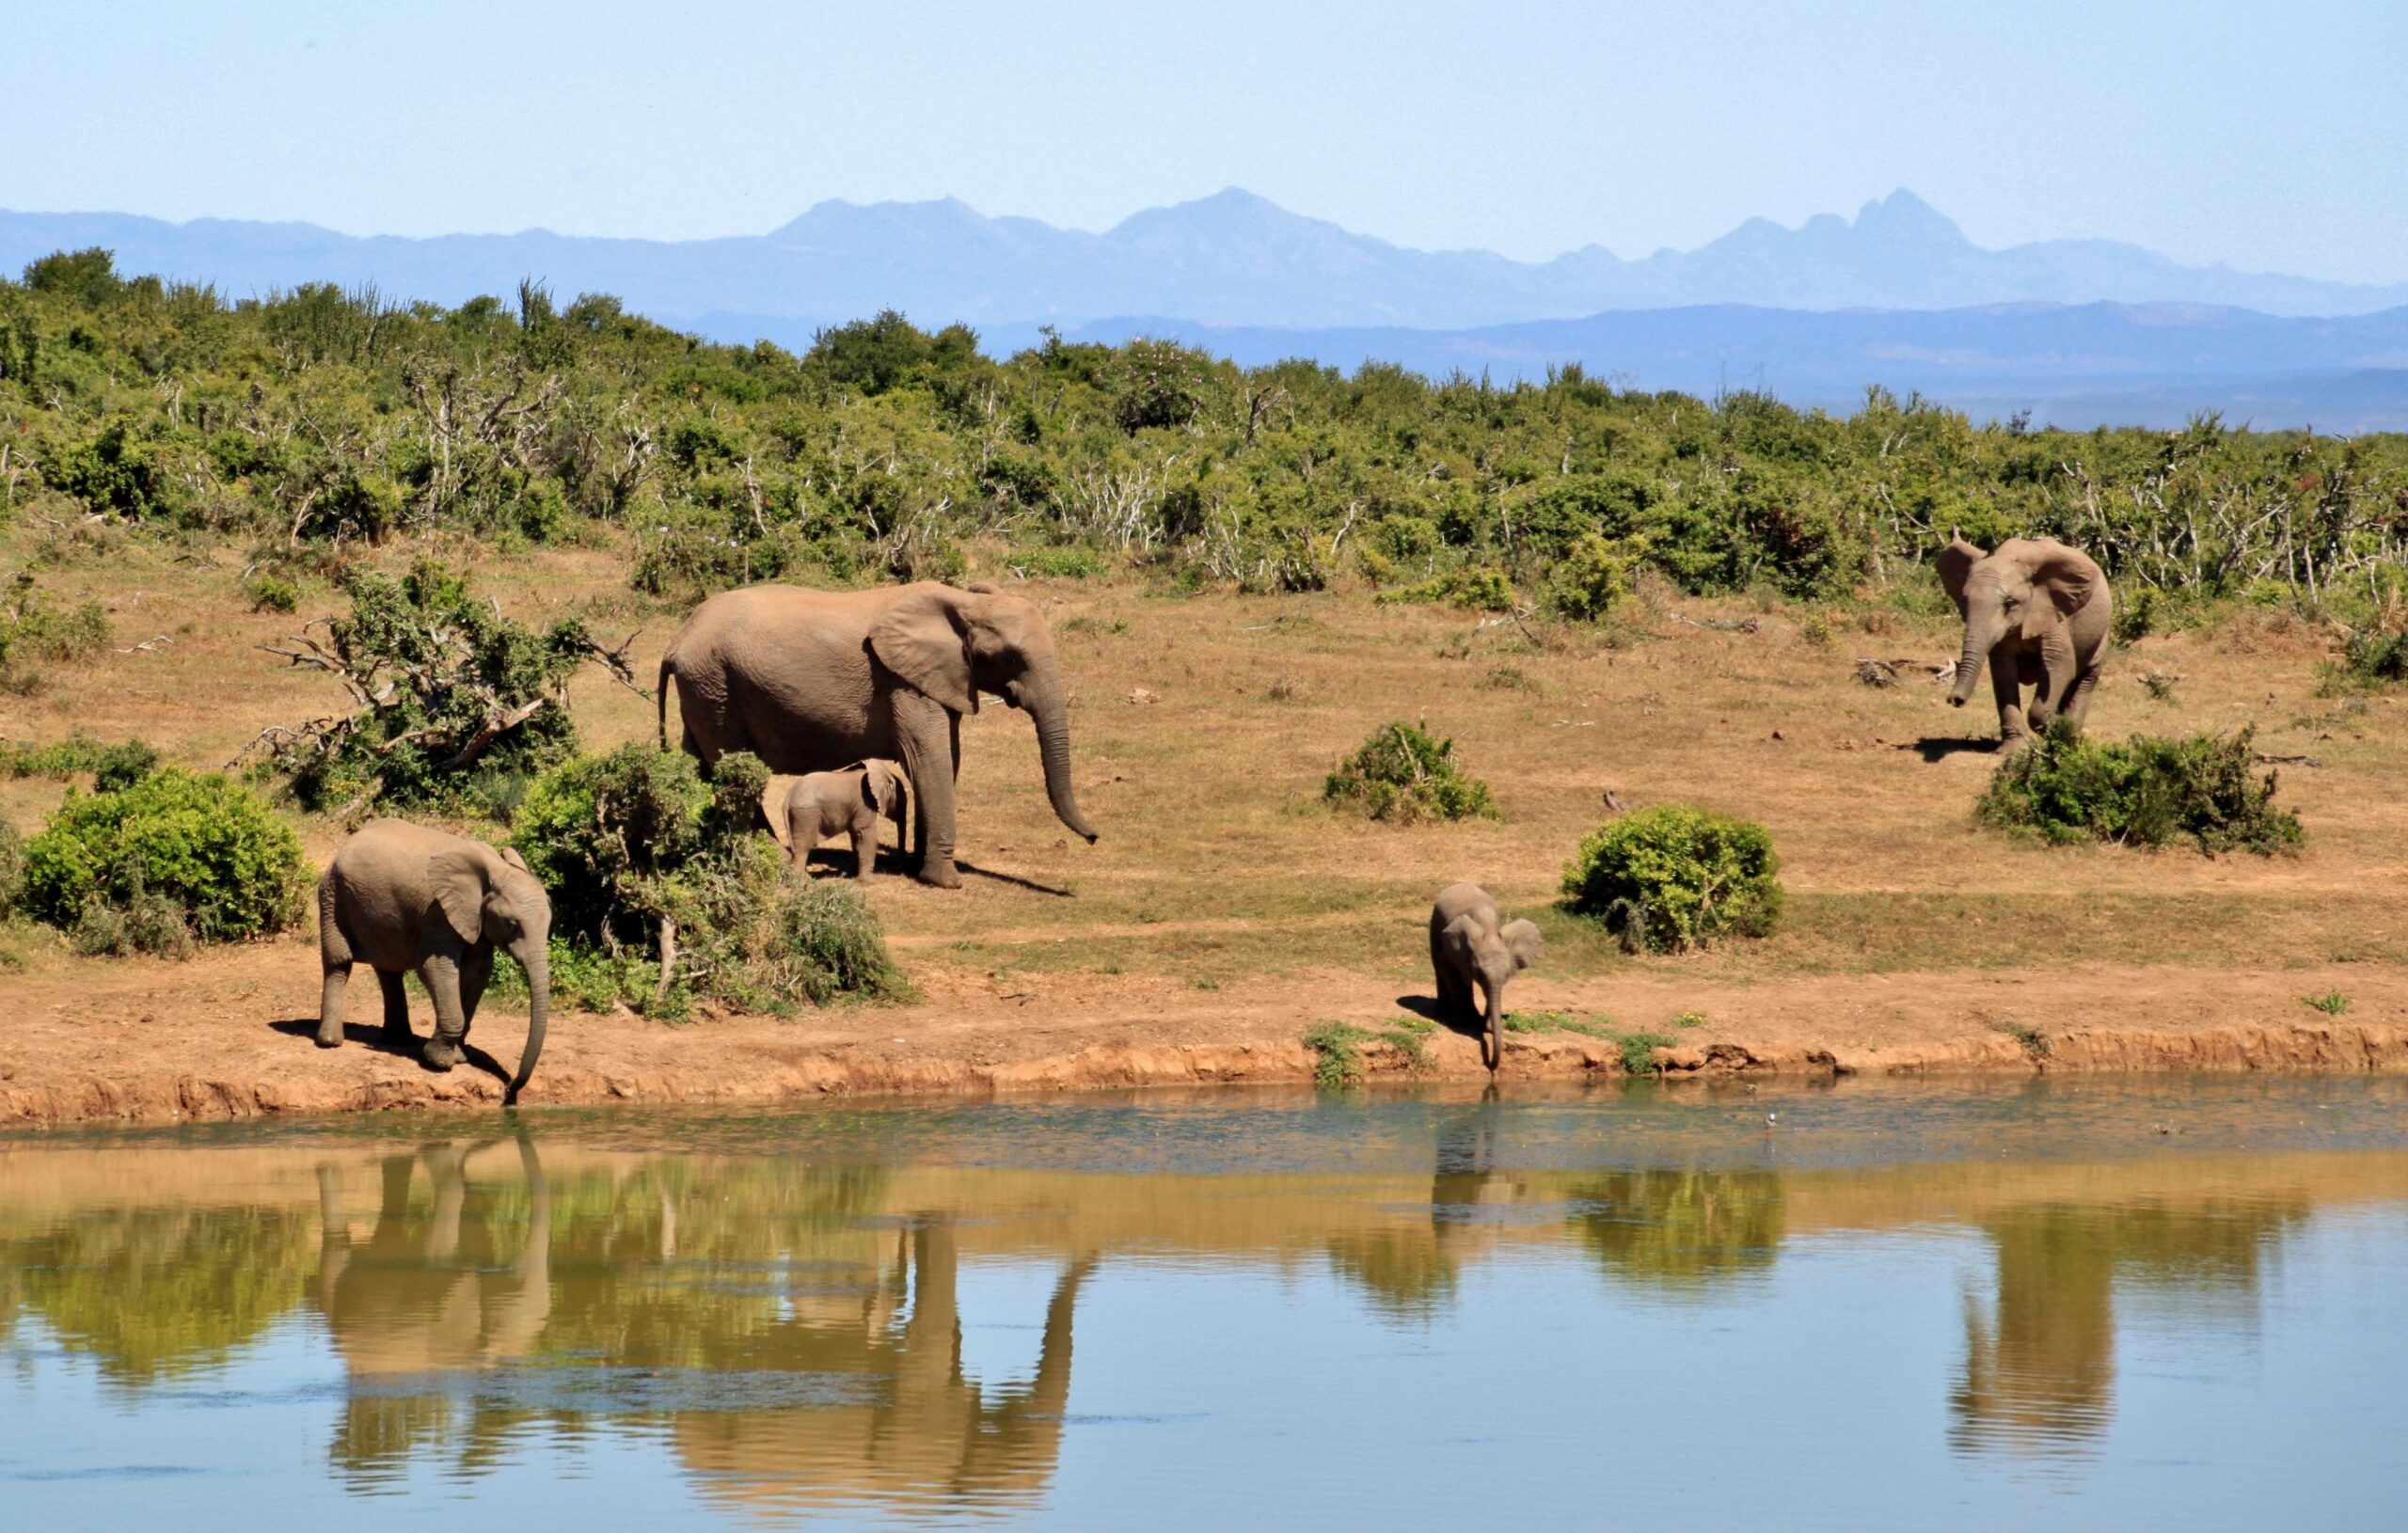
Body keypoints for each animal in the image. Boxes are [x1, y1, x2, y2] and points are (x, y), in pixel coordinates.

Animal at [312, 818, 548, 1092]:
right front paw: (440, 1062)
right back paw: (330, 1042)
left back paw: (399, 1040)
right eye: (512, 925)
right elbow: (435, 967)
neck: (495, 869)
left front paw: (459, 1057)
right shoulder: (438, 911)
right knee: (339, 962)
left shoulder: (475, 918)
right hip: (333, 894)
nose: (510, 1087)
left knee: (389, 969)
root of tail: (349, 841)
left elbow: (478, 972)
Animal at [780, 760, 910, 880]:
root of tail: (788, 797)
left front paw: (853, 875)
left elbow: (856, 836)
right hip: (806, 814)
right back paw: (802, 878)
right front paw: (868, 882)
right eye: (902, 802)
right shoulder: (864, 804)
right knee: (804, 846)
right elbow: (866, 833)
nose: (902, 872)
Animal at [1425, 880, 1541, 1068]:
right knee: (1438, 965)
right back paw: (1443, 1012)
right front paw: (1464, 1023)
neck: (1489, 929)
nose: (1491, 1065)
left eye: (1507, 974)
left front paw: (1487, 1027)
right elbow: (1448, 968)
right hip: (1434, 922)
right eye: (1479, 973)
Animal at [1936, 539, 2109, 746]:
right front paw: (2014, 749)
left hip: (2103, 631)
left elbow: (2061, 664)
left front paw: (2058, 725)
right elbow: (2003, 673)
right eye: (1964, 601)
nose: (1955, 700)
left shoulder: (2053, 613)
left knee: (2087, 676)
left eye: (2010, 603)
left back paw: (2070, 735)